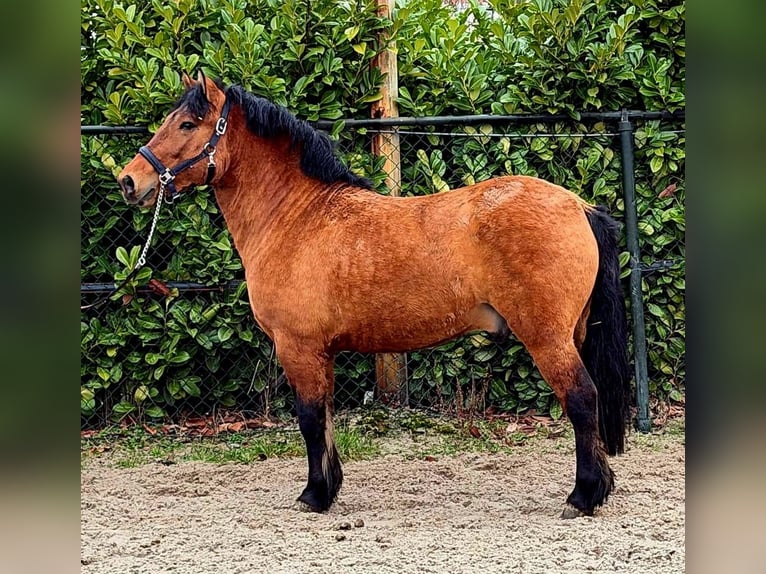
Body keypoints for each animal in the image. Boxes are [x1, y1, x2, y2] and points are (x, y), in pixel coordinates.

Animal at [117, 71, 631, 518]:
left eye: (187, 124)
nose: (129, 180)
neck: (297, 217)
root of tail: (579, 206)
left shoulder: (298, 348)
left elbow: (309, 419)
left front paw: (314, 495)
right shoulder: (319, 353)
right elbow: (324, 418)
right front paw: (328, 488)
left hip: (548, 338)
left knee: (582, 398)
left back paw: (582, 497)